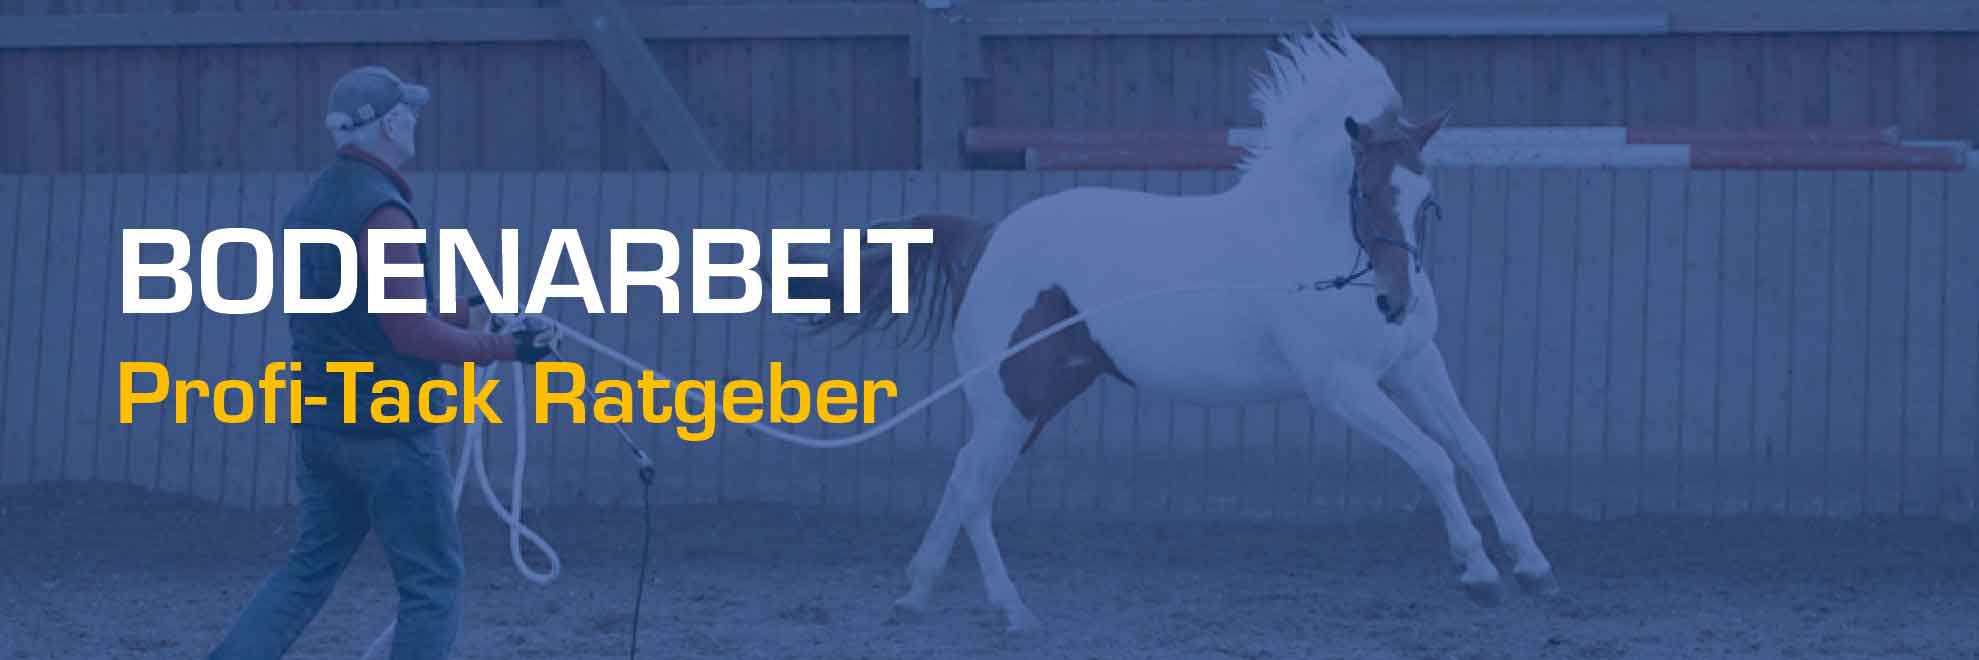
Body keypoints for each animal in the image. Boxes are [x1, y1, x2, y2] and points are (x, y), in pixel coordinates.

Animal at [789, 24, 1558, 631]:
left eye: (1428, 199)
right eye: (1365, 193)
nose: (1395, 302)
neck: (1311, 245)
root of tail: (986, 234)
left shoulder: (1412, 363)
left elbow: (1475, 451)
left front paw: (1532, 565)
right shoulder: (1341, 386)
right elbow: (1432, 459)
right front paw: (1479, 574)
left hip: (1035, 399)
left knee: (960, 479)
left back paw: (917, 594)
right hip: (1015, 399)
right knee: (976, 490)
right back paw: (1012, 611)